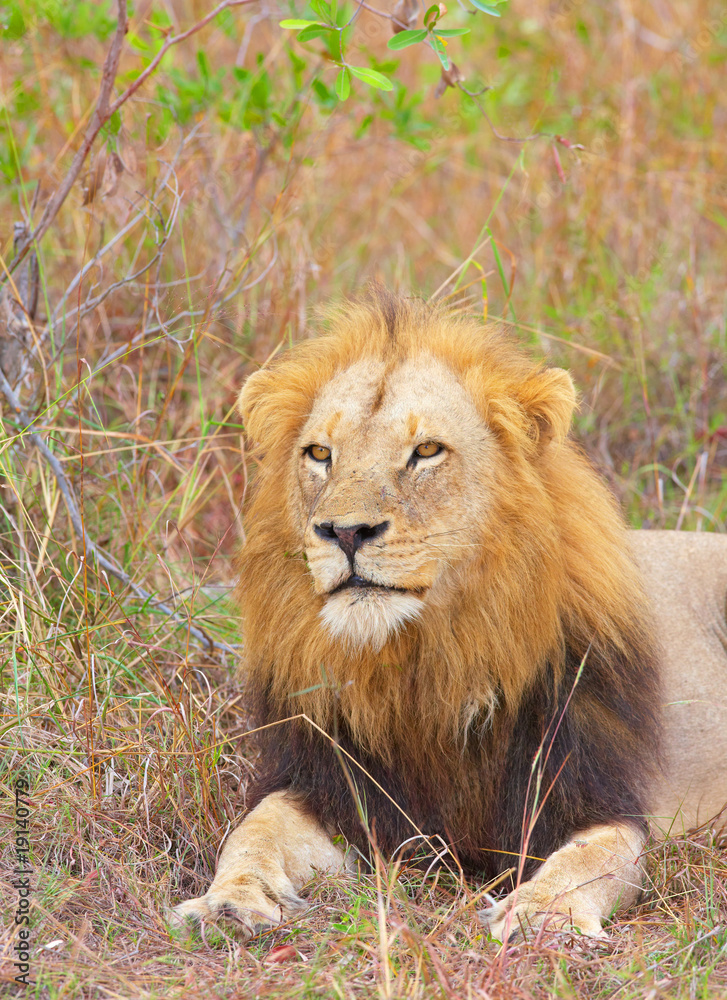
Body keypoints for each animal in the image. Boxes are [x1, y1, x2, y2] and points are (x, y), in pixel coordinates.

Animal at [172, 289, 727, 942]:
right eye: (320, 454)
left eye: (427, 451)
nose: (345, 532)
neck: (431, 663)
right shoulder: (334, 789)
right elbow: (252, 831)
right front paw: (227, 902)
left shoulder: (595, 796)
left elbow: (593, 859)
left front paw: (540, 913)